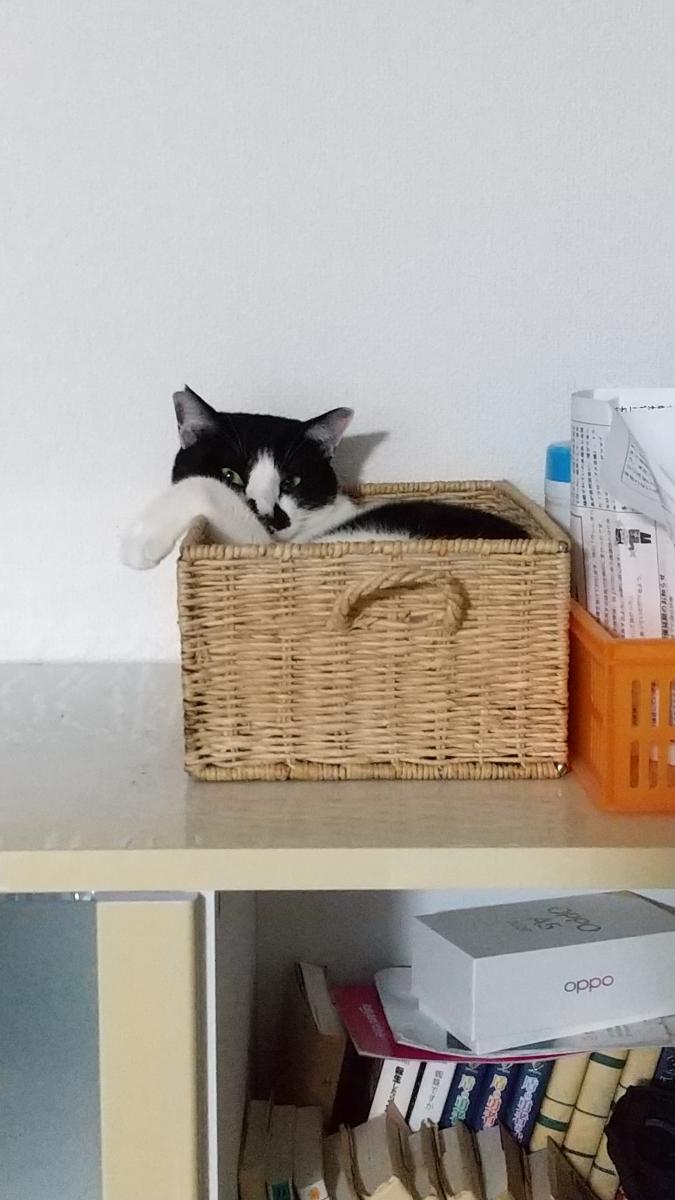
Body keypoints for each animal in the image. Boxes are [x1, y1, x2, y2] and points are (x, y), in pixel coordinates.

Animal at [121, 386, 527, 569]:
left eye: (292, 482)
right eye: (231, 473)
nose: (271, 517)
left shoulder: (254, 542)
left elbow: (201, 488)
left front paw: (139, 541)